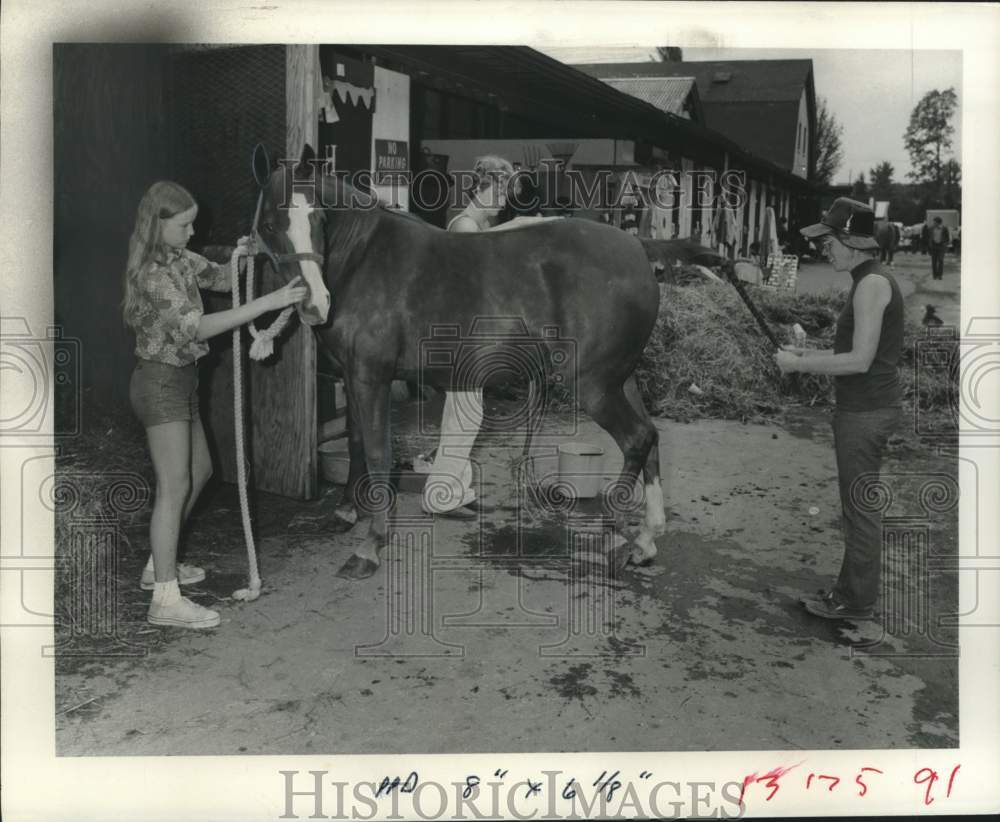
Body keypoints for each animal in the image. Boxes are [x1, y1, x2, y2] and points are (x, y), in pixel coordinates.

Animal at [254, 148, 668, 584]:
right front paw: (347, 511)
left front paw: (369, 548)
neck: (364, 259)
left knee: (637, 439)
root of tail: (639, 253)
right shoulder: (353, 377)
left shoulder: (371, 376)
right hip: (621, 379)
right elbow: (355, 442)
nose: (315, 303)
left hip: (593, 386)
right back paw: (646, 539)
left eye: (318, 218)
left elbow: (378, 452)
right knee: (652, 437)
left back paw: (618, 535)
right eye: (269, 224)